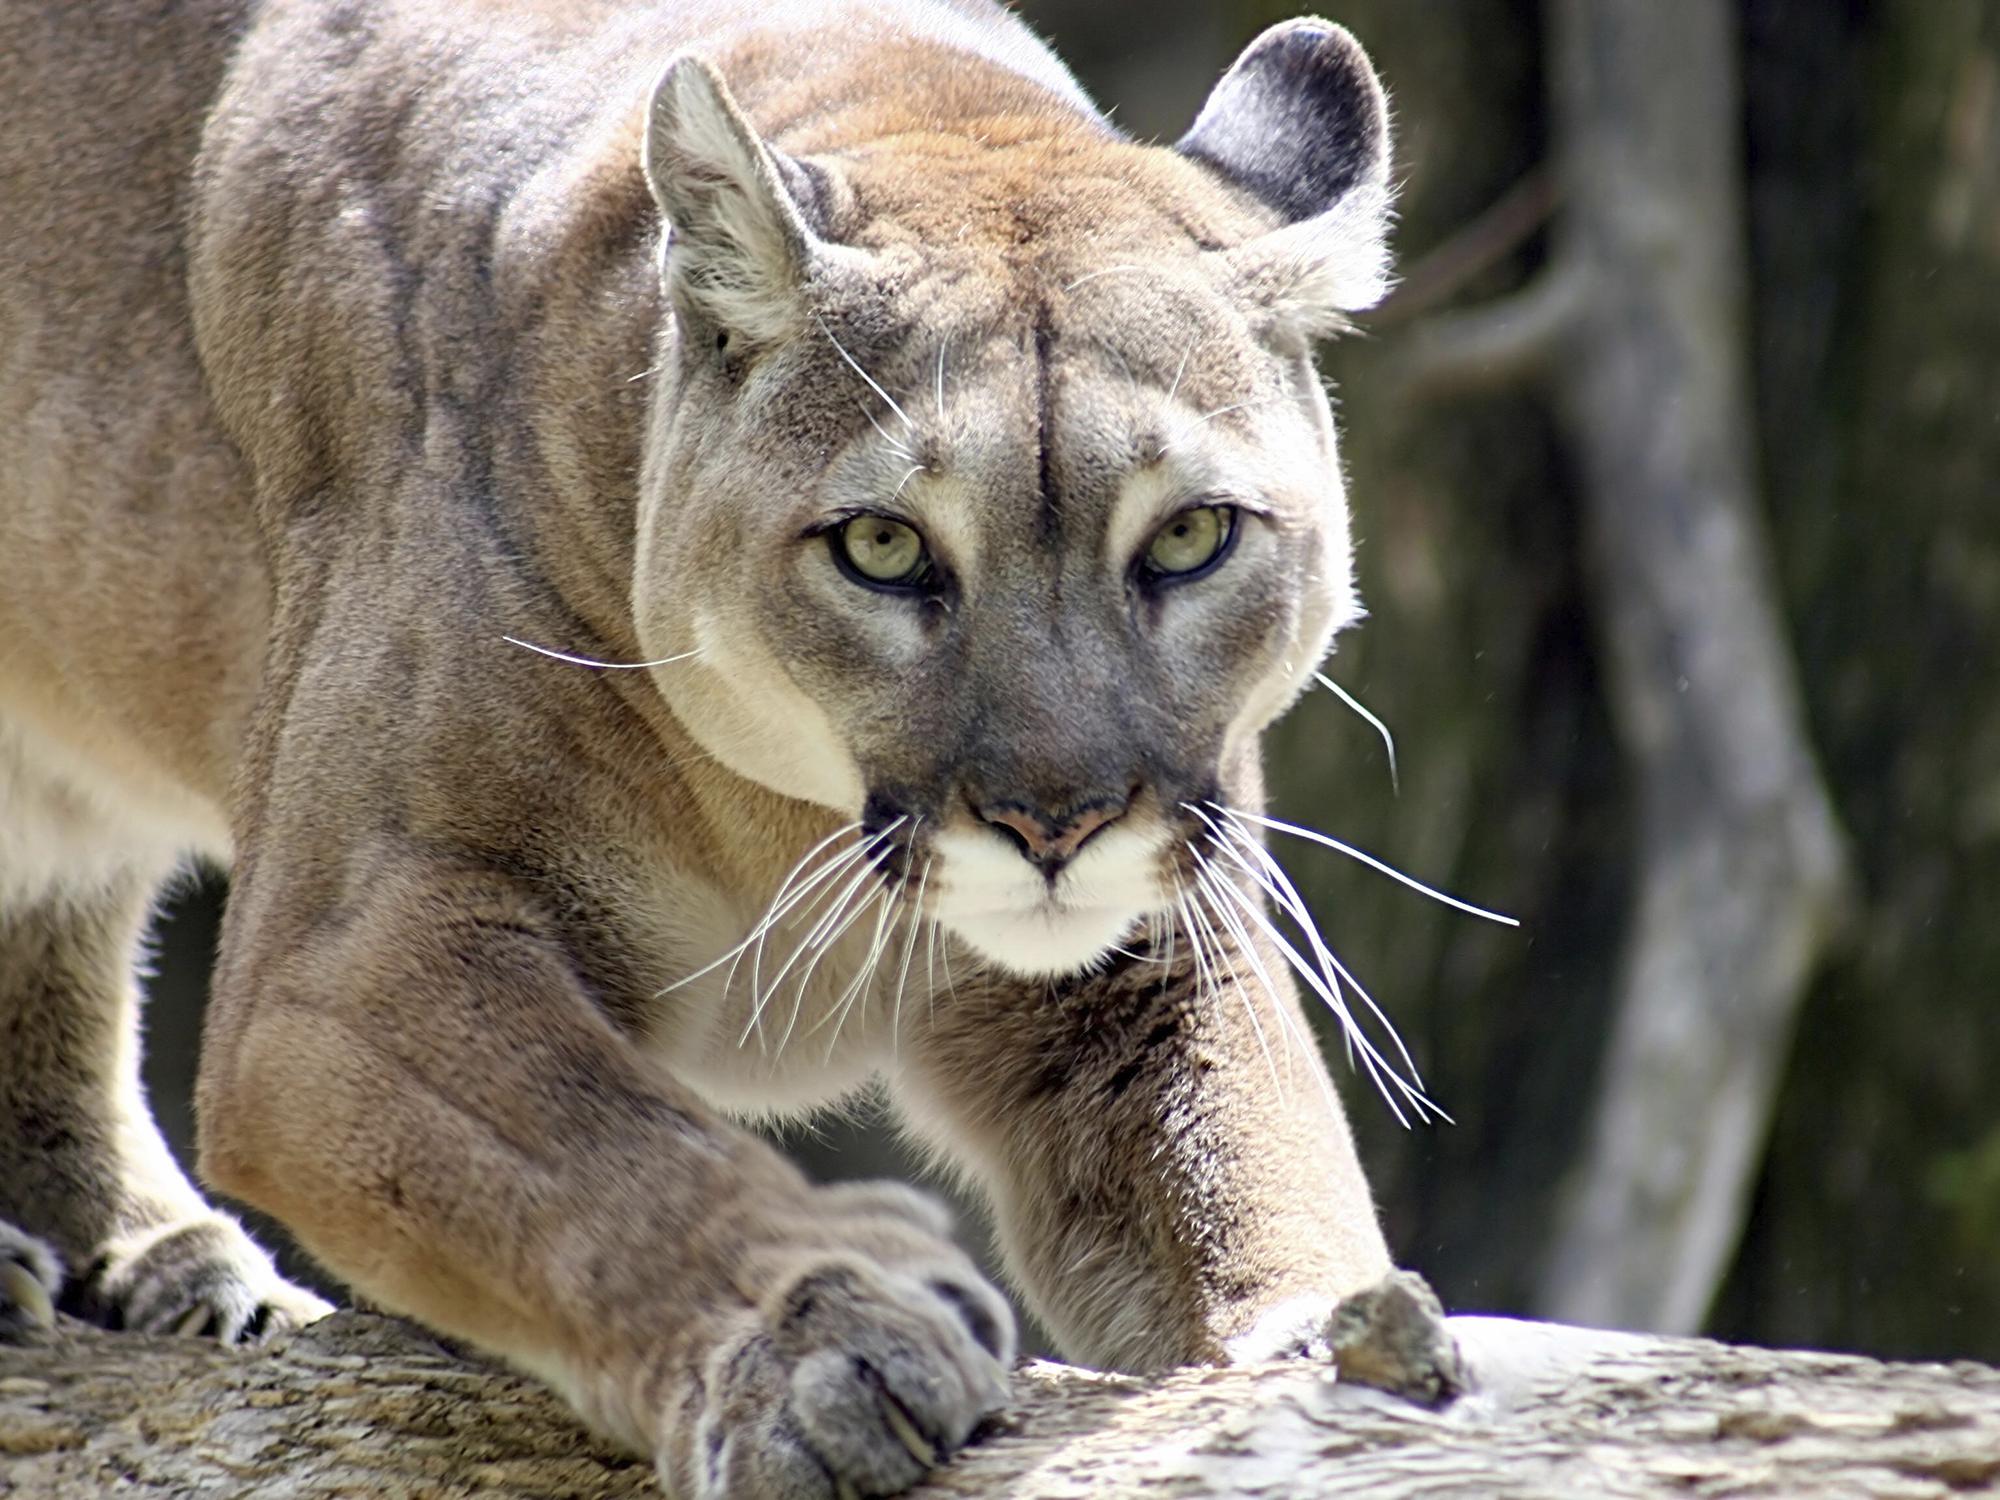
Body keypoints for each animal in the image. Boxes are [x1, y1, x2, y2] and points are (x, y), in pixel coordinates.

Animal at [0, 0, 1408, 1496]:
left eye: (1191, 536)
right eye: (883, 545)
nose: (1056, 823)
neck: (784, 815)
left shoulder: (1156, 952)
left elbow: (1250, 1167)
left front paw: (1335, 1349)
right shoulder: (350, 956)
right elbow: (605, 1155)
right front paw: (824, 1341)